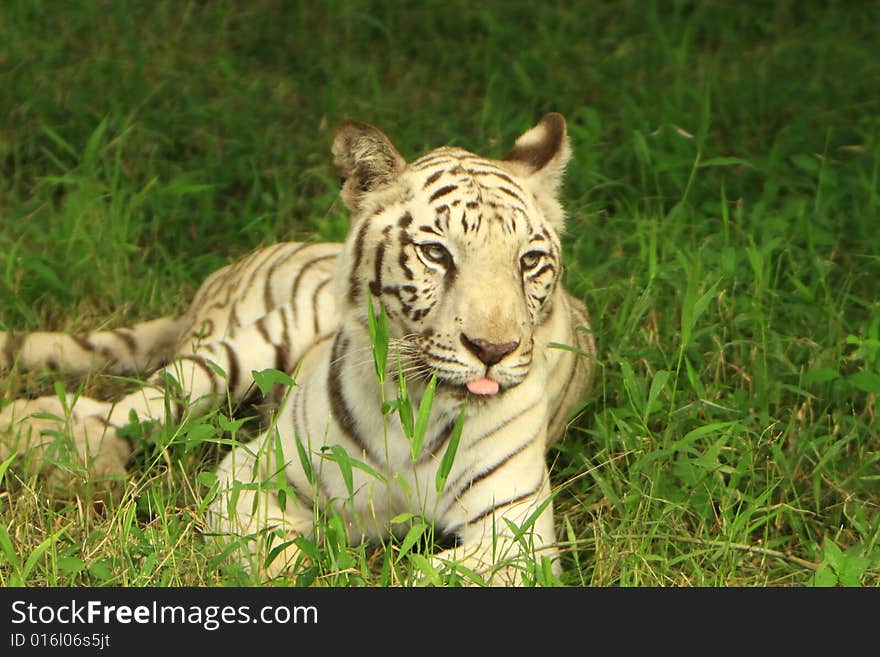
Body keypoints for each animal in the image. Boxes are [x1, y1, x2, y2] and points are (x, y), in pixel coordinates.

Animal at [1, 113, 600, 584]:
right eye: (436, 253)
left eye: (529, 261)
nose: (493, 349)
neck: (414, 405)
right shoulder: (252, 468)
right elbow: (275, 556)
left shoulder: (516, 536)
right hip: (246, 346)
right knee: (136, 404)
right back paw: (52, 444)